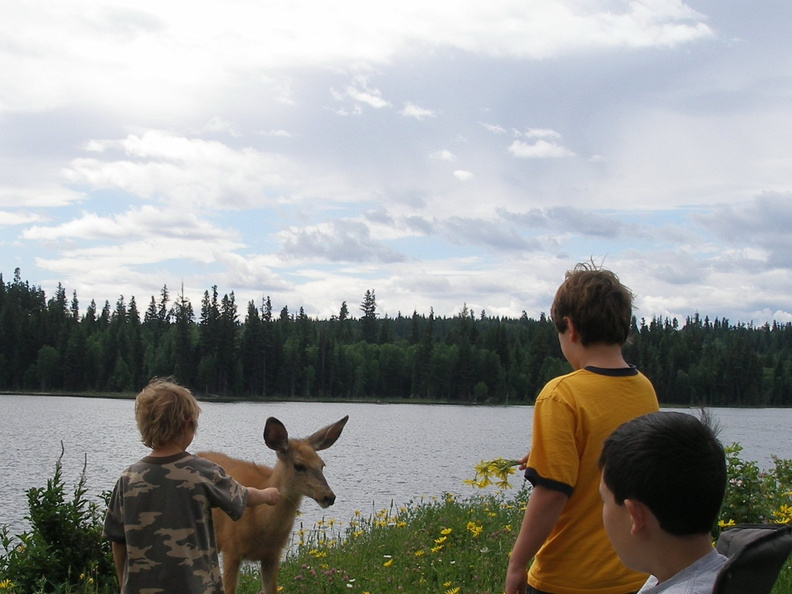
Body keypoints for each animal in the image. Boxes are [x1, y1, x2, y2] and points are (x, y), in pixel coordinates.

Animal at [197, 412, 346, 592]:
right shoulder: (231, 549)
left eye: (322, 465)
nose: (329, 496)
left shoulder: (272, 555)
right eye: (298, 465)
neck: (261, 523)